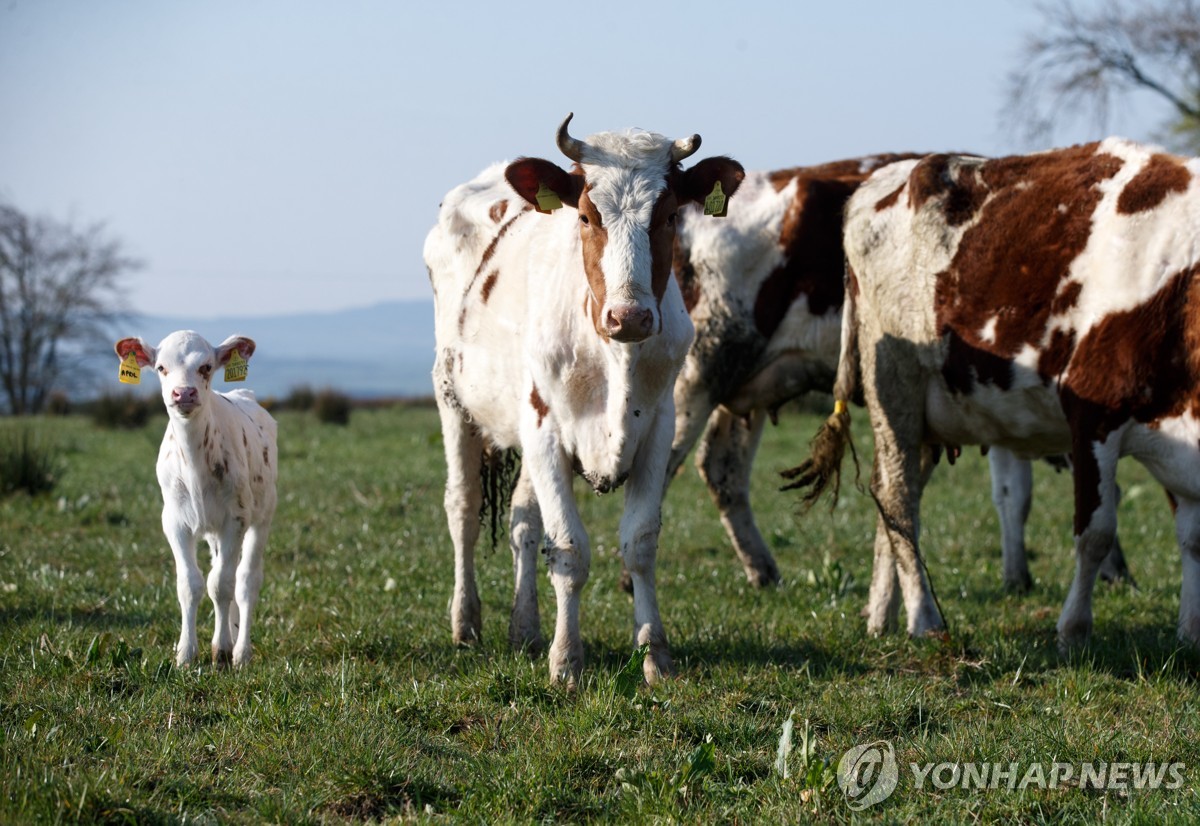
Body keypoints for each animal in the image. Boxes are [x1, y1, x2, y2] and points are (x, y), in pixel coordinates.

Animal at [114, 328, 276, 662]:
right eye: (161, 368)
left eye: (206, 367)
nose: (184, 393)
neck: (195, 463)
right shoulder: (174, 521)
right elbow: (190, 584)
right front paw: (186, 653)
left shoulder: (235, 520)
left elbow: (222, 585)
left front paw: (222, 652)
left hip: (263, 515)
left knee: (246, 580)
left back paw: (241, 650)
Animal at [422, 114, 739, 681]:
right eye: (588, 216)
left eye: (669, 215)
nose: (629, 316)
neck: (615, 358)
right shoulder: (546, 429)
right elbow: (569, 548)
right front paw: (567, 660)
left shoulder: (658, 426)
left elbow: (639, 543)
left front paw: (653, 654)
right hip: (453, 401)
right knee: (463, 509)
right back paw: (466, 623)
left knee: (523, 522)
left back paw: (524, 629)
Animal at [787, 138, 1200, 648]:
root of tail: (887, 178)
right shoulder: (1092, 413)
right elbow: (1095, 533)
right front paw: (1073, 630)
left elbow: (1192, 538)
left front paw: (1191, 633)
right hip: (893, 382)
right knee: (898, 498)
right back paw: (924, 618)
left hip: (921, 418)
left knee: (894, 495)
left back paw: (881, 616)